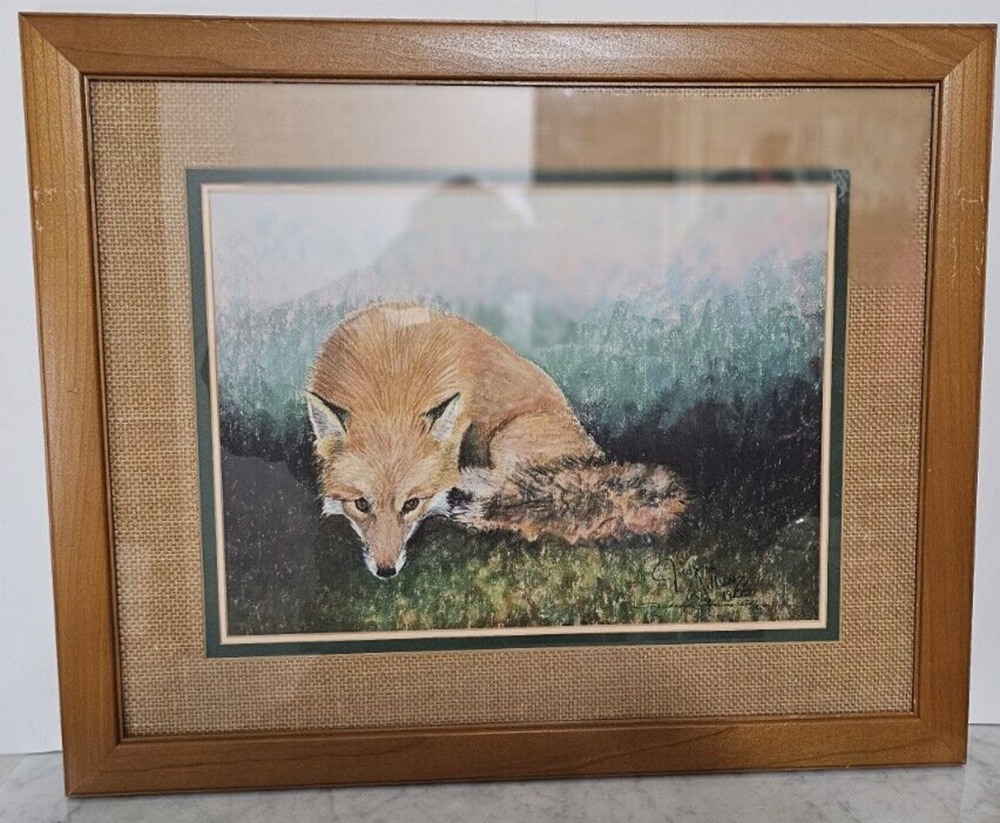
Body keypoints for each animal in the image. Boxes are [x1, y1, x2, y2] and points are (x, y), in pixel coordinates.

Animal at [306, 302, 686, 579]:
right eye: (361, 504)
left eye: (411, 504)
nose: (386, 571)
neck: (389, 376)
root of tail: (595, 458)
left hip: (507, 439)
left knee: (512, 492)